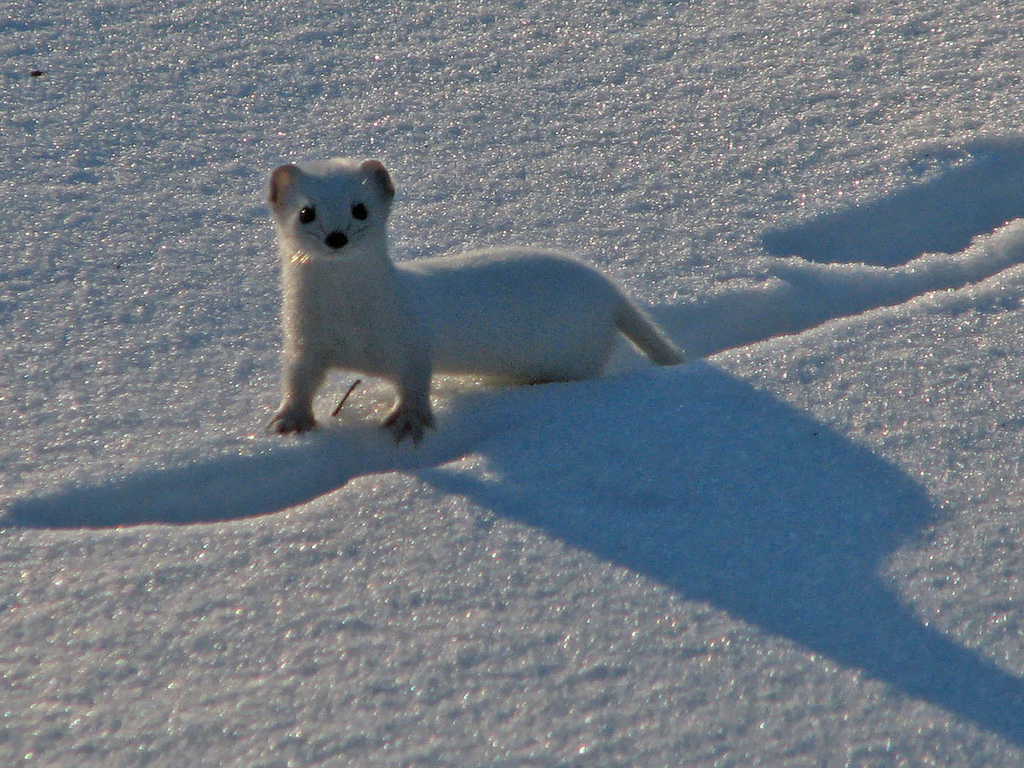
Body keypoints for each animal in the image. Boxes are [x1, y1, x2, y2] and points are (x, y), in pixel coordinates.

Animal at [268, 157, 684, 444]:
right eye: (306, 212)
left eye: (360, 208)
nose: (336, 237)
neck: (347, 320)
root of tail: (610, 290)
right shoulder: (305, 341)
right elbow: (299, 377)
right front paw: (289, 419)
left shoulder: (409, 336)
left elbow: (415, 380)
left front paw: (408, 420)